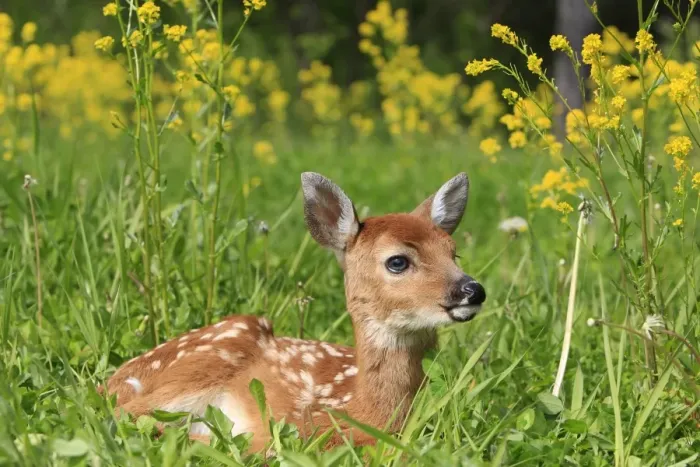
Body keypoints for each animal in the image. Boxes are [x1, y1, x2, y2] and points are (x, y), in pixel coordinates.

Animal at [105, 172, 487, 451]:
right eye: (397, 261)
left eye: (453, 253)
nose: (473, 290)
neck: (361, 412)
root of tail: (115, 378)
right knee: (123, 414)